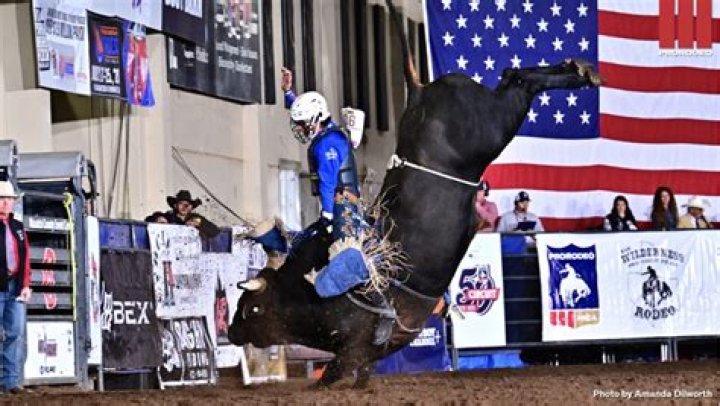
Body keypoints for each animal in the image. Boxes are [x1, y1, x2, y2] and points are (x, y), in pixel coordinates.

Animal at [228, 0, 602, 389]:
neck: (301, 287)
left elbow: (335, 370)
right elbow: (360, 369)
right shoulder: (368, 352)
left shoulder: (353, 344)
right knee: (513, 76)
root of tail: (419, 91)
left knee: (519, 81)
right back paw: (578, 68)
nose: (231, 331)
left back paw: (579, 72)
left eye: (250, 307)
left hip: (490, 124)